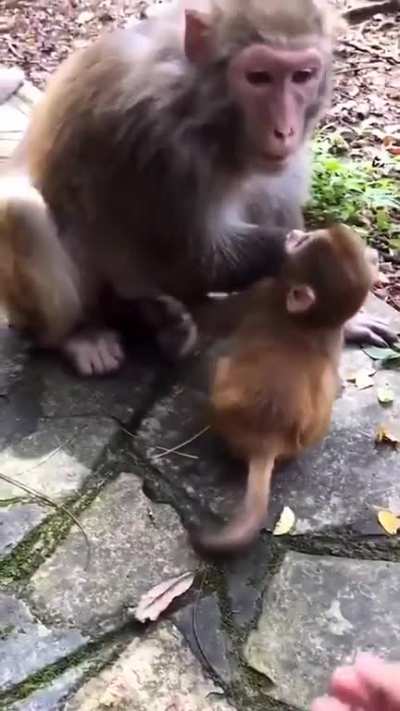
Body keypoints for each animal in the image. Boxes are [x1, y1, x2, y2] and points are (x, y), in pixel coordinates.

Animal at [0, 0, 395, 375]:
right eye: (259, 77)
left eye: (302, 76)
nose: (284, 130)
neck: (201, 104)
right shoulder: (160, 143)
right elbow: (192, 257)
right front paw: (315, 255)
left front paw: (338, 313)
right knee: (20, 210)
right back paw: (80, 336)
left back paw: (155, 319)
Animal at [191, 224, 374, 555]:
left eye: (304, 243)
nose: (294, 234)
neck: (311, 320)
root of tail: (267, 442)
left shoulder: (261, 291)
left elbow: (212, 317)